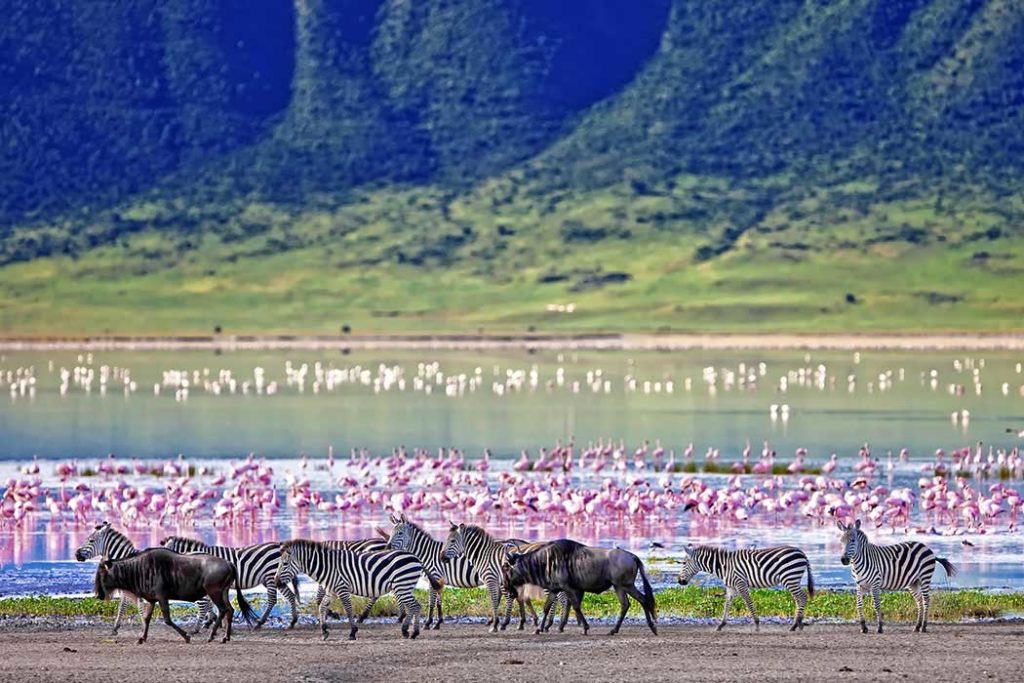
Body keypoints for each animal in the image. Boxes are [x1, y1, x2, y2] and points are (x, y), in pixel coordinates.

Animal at [160, 536, 300, 630]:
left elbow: (209, 602)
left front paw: (212, 621)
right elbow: (211, 603)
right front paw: (213, 620)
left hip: (271, 576)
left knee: (272, 599)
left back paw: (260, 622)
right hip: (276, 578)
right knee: (290, 596)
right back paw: (293, 621)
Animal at [275, 539, 437, 641]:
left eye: (284, 564)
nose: (276, 582)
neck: (327, 566)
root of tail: (416, 558)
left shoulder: (342, 588)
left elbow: (348, 610)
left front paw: (352, 632)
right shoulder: (331, 590)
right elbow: (322, 607)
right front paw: (324, 631)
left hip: (402, 585)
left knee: (415, 606)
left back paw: (413, 632)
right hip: (403, 587)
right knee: (413, 607)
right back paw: (407, 631)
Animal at [676, 544, 814, 631]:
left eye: (684, 563)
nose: (679, 581)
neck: (724, 566)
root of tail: (801, 553)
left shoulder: (740, 583)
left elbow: (749, 603)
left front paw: (757, 625)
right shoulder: (731, 587)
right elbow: (727, 604)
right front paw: (721, 625)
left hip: (789, 578)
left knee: (802, 597)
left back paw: (795, 625)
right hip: (792, 579)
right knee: (799, 599)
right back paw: (798, 624)